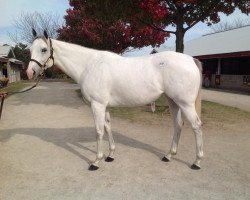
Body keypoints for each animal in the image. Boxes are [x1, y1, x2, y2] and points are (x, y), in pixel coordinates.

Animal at [26, 29, 203, 170]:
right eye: (30, 50)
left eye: (43, 49)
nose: (29, 73)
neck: (89, 65)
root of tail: (190, 59)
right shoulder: (104, 106)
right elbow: (108, 127)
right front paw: (110, 155)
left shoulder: (97, 105)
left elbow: (98, 131)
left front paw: (96, 161)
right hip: (173, 101)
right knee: (178, 125)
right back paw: (169, 156)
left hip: (185, 103)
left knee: (196, 126)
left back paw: (197, 162)